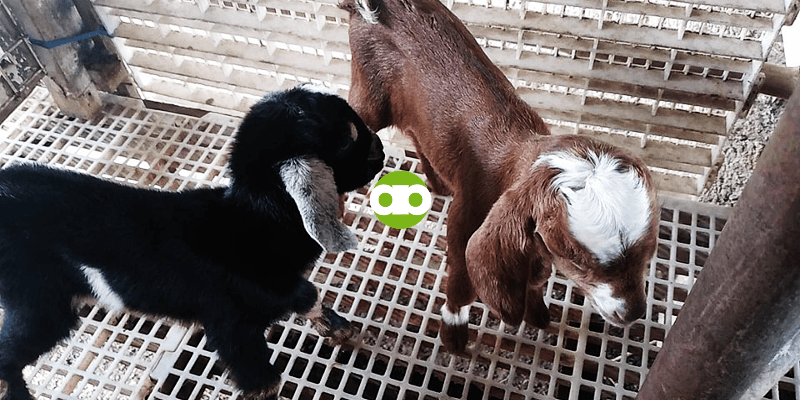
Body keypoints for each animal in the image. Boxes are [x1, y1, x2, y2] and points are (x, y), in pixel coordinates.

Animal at [0, 84, 385, 400]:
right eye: (348, 138)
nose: (381, 149)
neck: (253, 223)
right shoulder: (230, 324)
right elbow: (264, 382)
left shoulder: (281, 287)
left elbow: (307, 298)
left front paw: (342, 330)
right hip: (39, 297)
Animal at [341, 0, 659, 354]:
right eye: (574, 256)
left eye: (649, 250)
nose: (632, 312)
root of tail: (376, 8)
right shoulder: (468, 216)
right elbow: (461, 281)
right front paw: (454, 339)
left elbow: (535, 277)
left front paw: (539, 317)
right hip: (370, 93)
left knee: (414, 132)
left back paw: (437, 184)